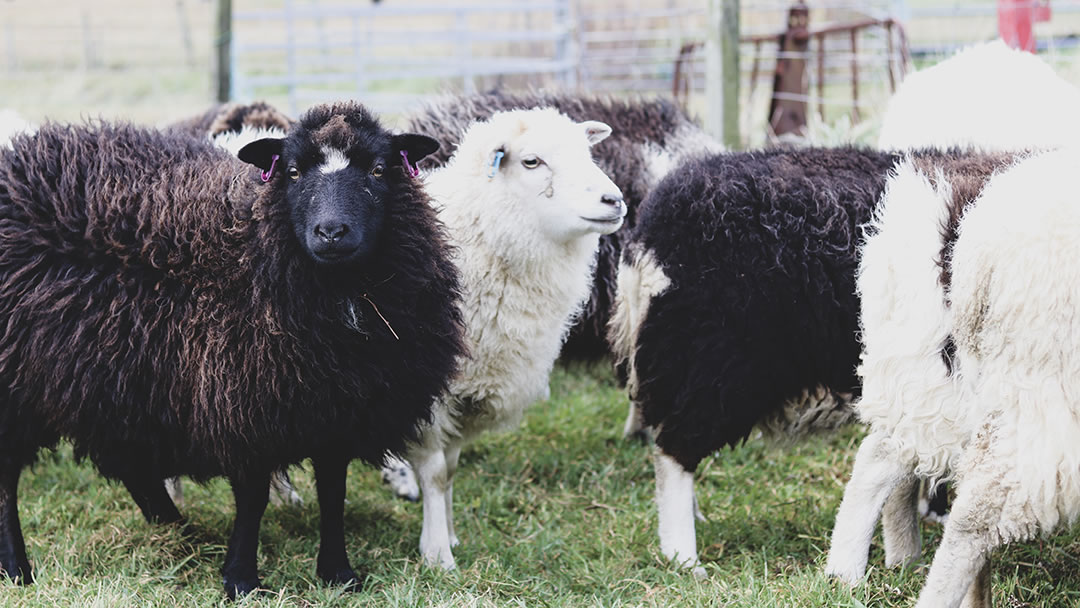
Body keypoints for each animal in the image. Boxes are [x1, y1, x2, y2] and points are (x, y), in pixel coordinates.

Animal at [0, 102, 460, 596]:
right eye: (293, 171)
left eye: (378, 169)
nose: (331, 232)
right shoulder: (242, 402)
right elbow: (254, 496)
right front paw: (241, 578)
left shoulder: (337, 409)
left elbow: (333, 490)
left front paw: (338, 574)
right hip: (21, 387)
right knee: (8, 477)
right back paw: (17, 568)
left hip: (115, 376)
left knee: (130, 460)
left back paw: (177, 528)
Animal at [406, 109, 626, 570]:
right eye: (531, 162)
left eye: (587, 153)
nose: (613, 200)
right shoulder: (428, 392)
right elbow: (434, 471)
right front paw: (437, 555)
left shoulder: (466, 388)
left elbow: (451, 468)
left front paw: (450, 535)